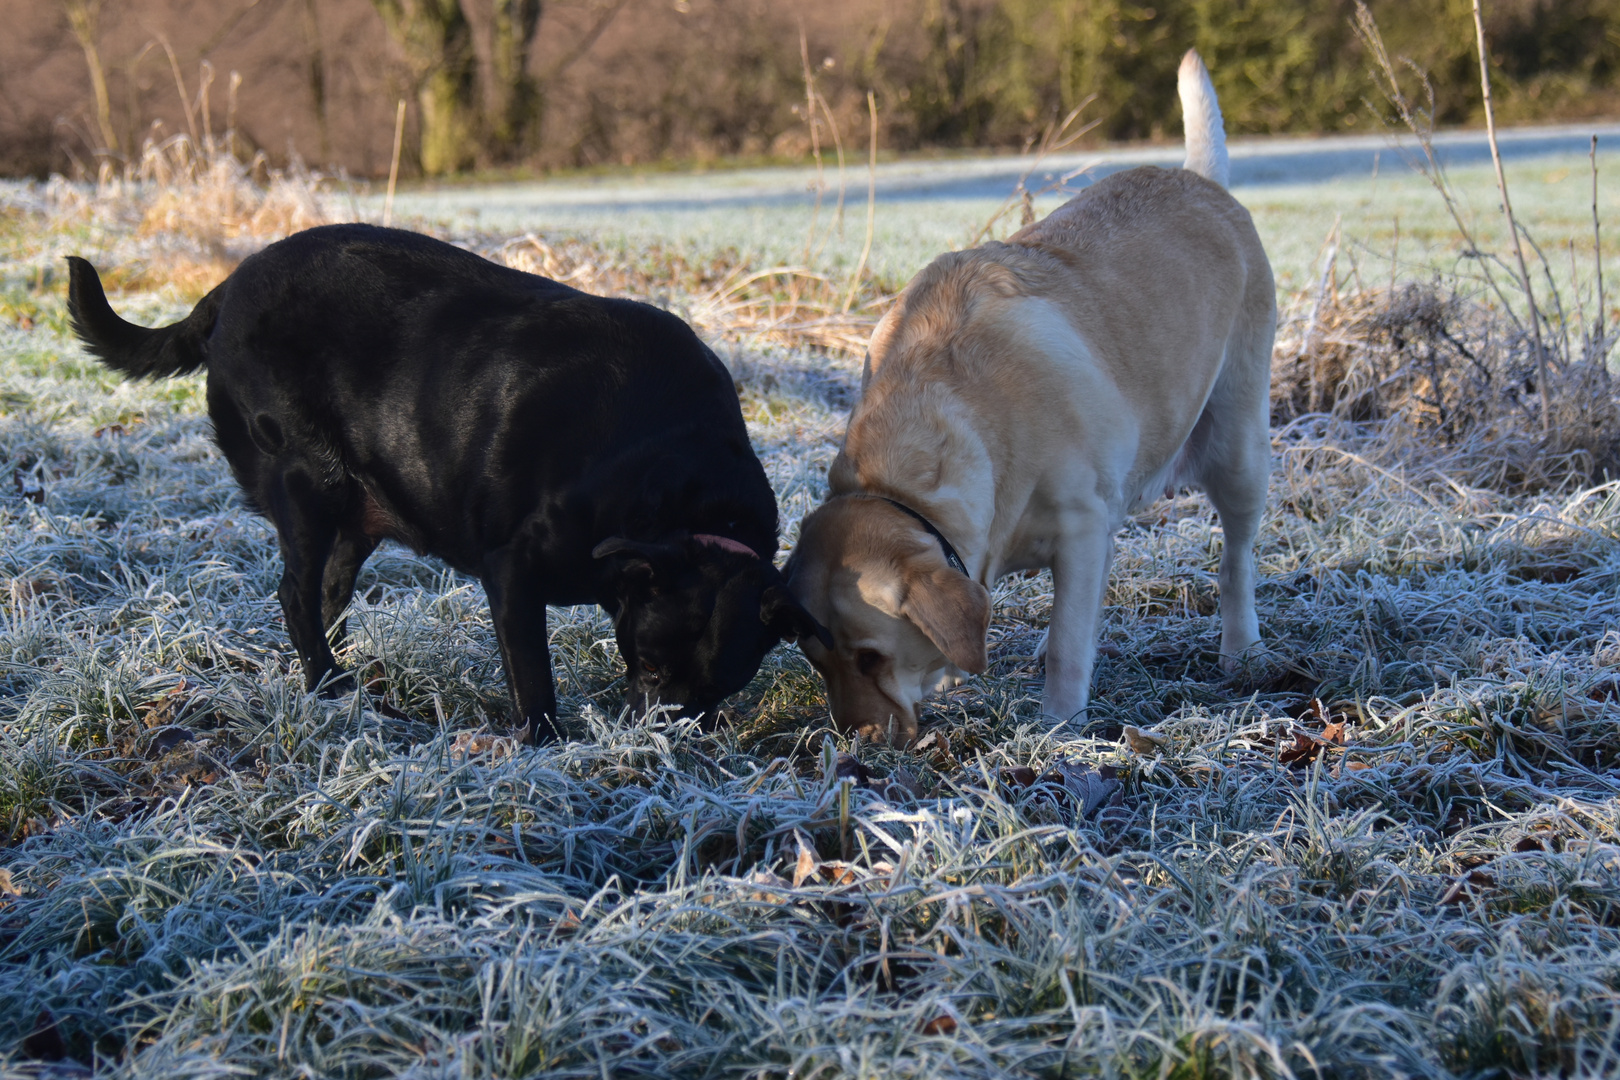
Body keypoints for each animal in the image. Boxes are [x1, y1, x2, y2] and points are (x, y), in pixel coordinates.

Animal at [66, 223, 822, 738]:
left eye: (718, 688)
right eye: (654, 665)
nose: (660, 738)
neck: (681, 493)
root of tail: (224, 292)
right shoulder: (512, 568)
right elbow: (533, 677)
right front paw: (544, 746)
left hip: (361, 505)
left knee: (329, 592)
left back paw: (354, 677)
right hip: (308, 479)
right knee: (295, 594)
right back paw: (328, 687)